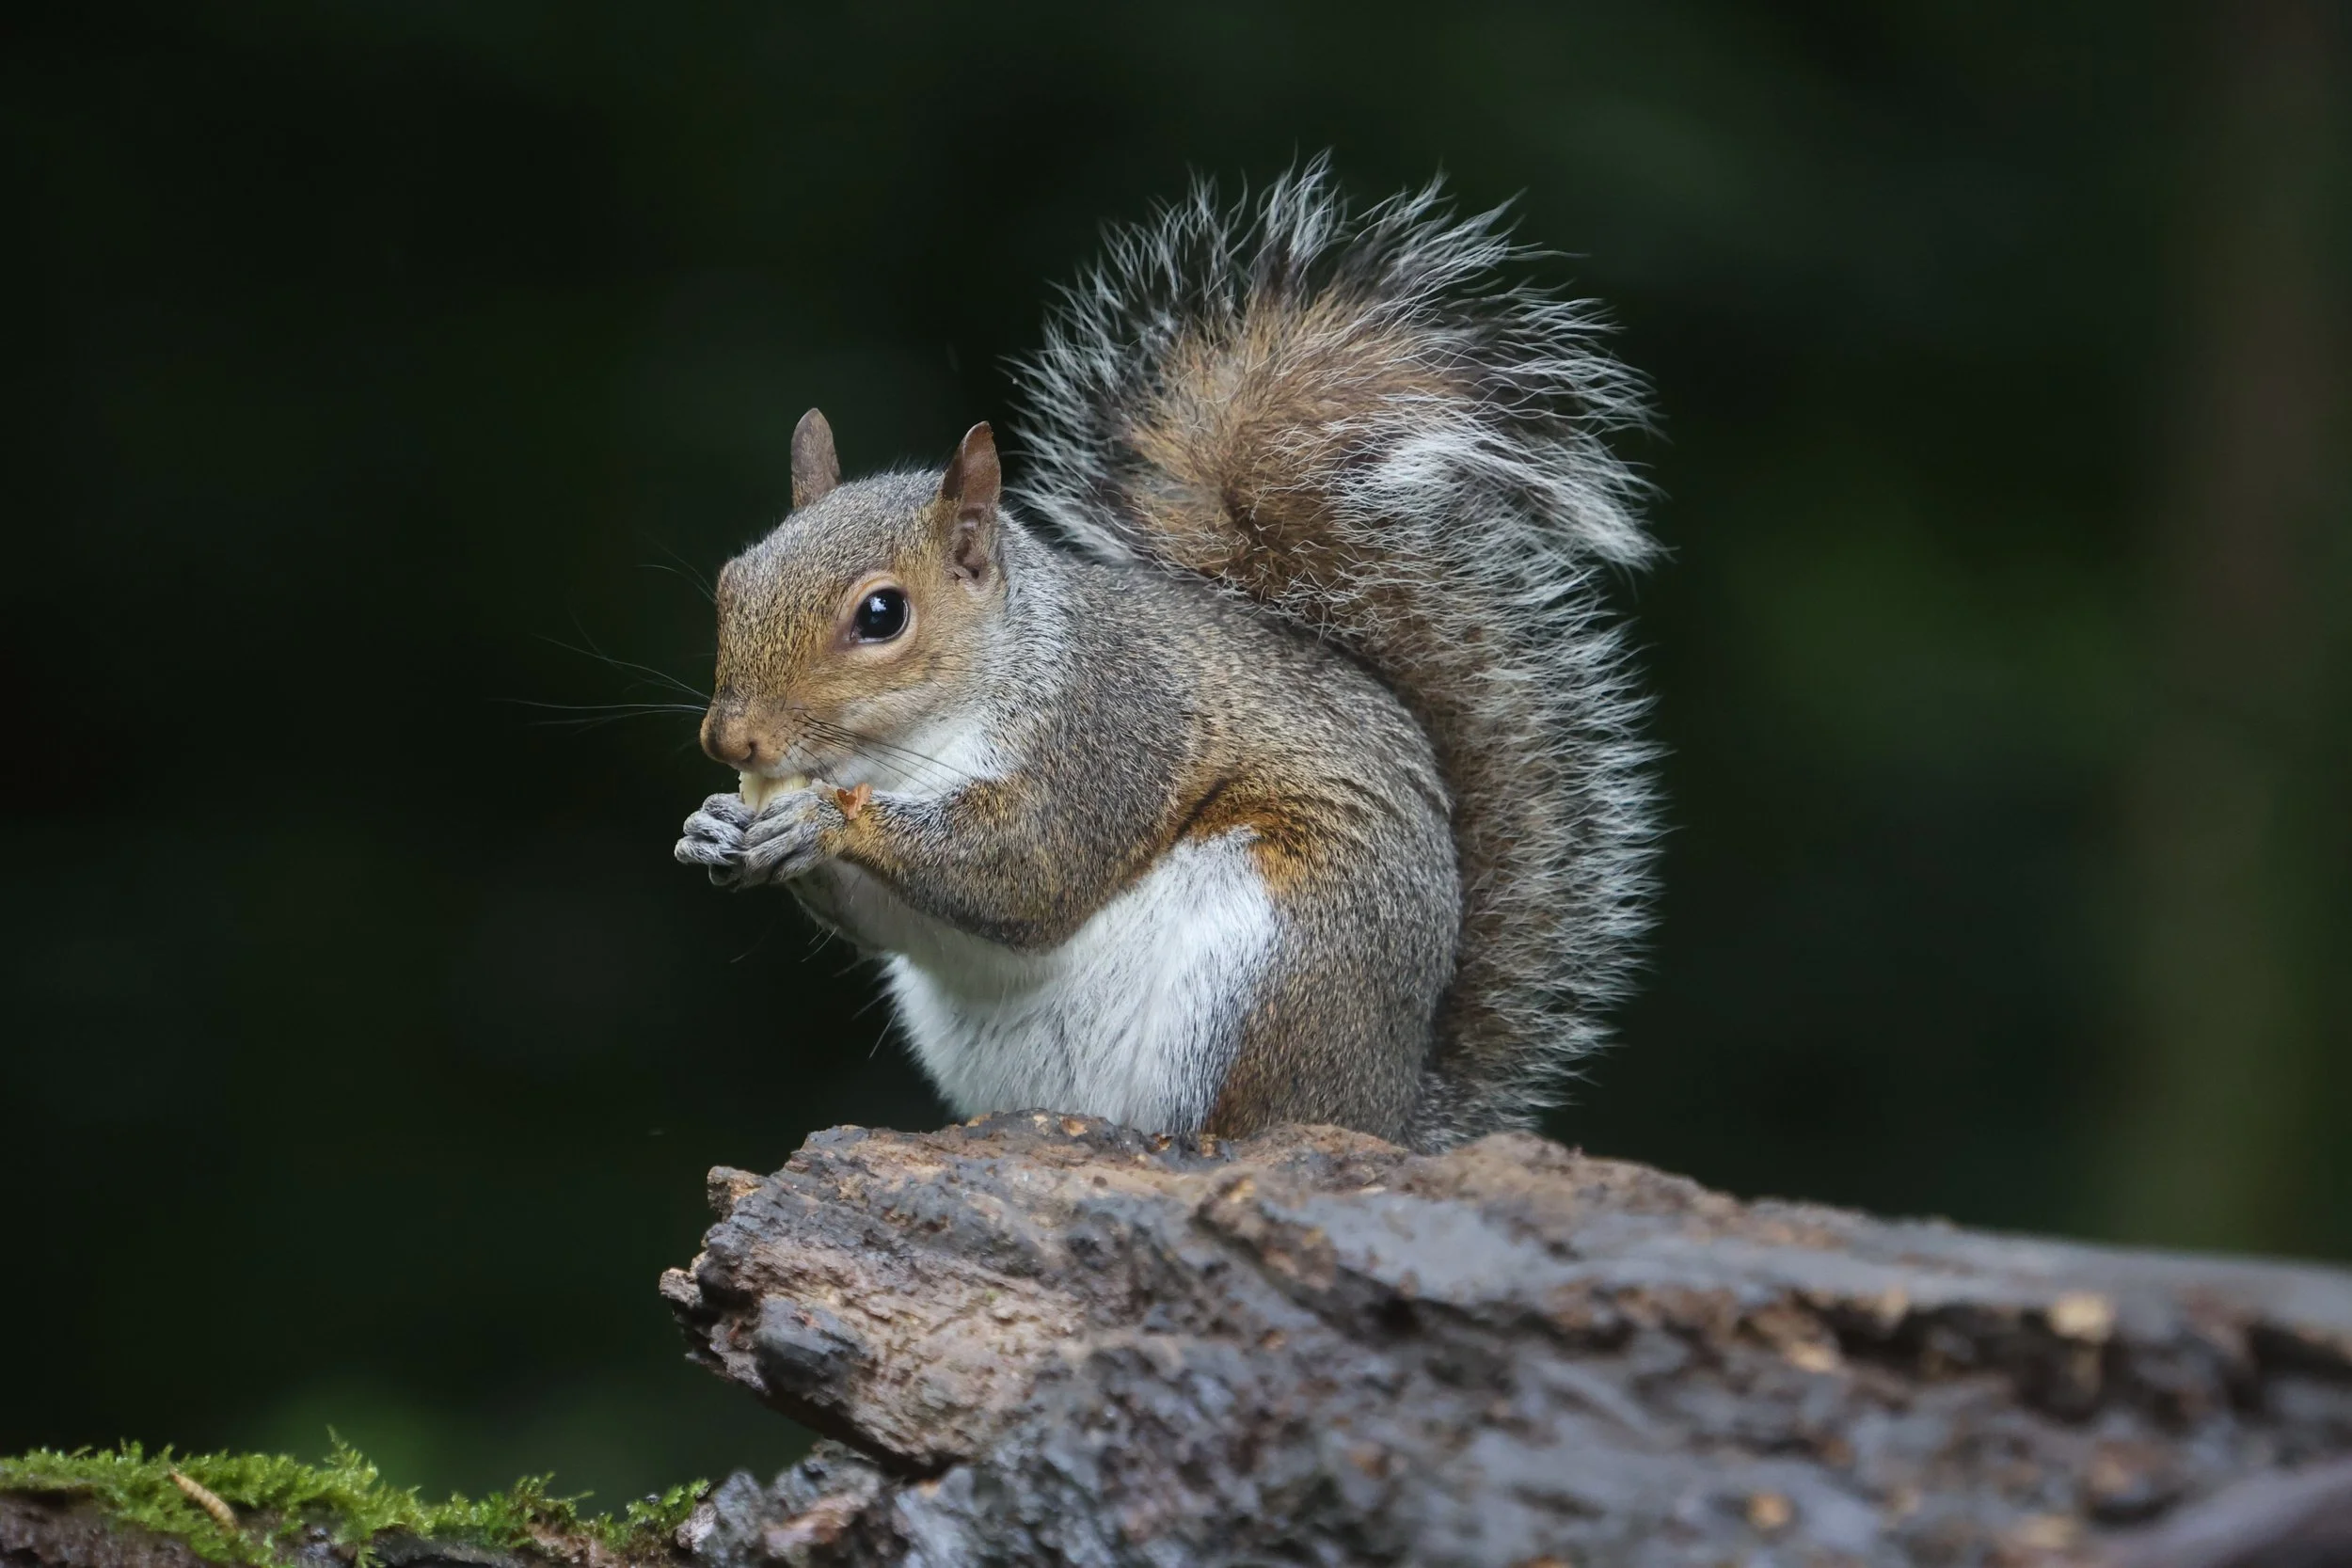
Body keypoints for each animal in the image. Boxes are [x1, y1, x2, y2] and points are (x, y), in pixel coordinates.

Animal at [674, 161, 1655, 1151]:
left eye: (882, 614)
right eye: (731, 578)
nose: (731, 742)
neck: (910, 744)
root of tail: (1384, 1108)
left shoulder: (1111, 729)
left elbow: (1031, 866)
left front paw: (826, 819)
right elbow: (888, 919)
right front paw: (717, 825)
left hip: (1272, 962)